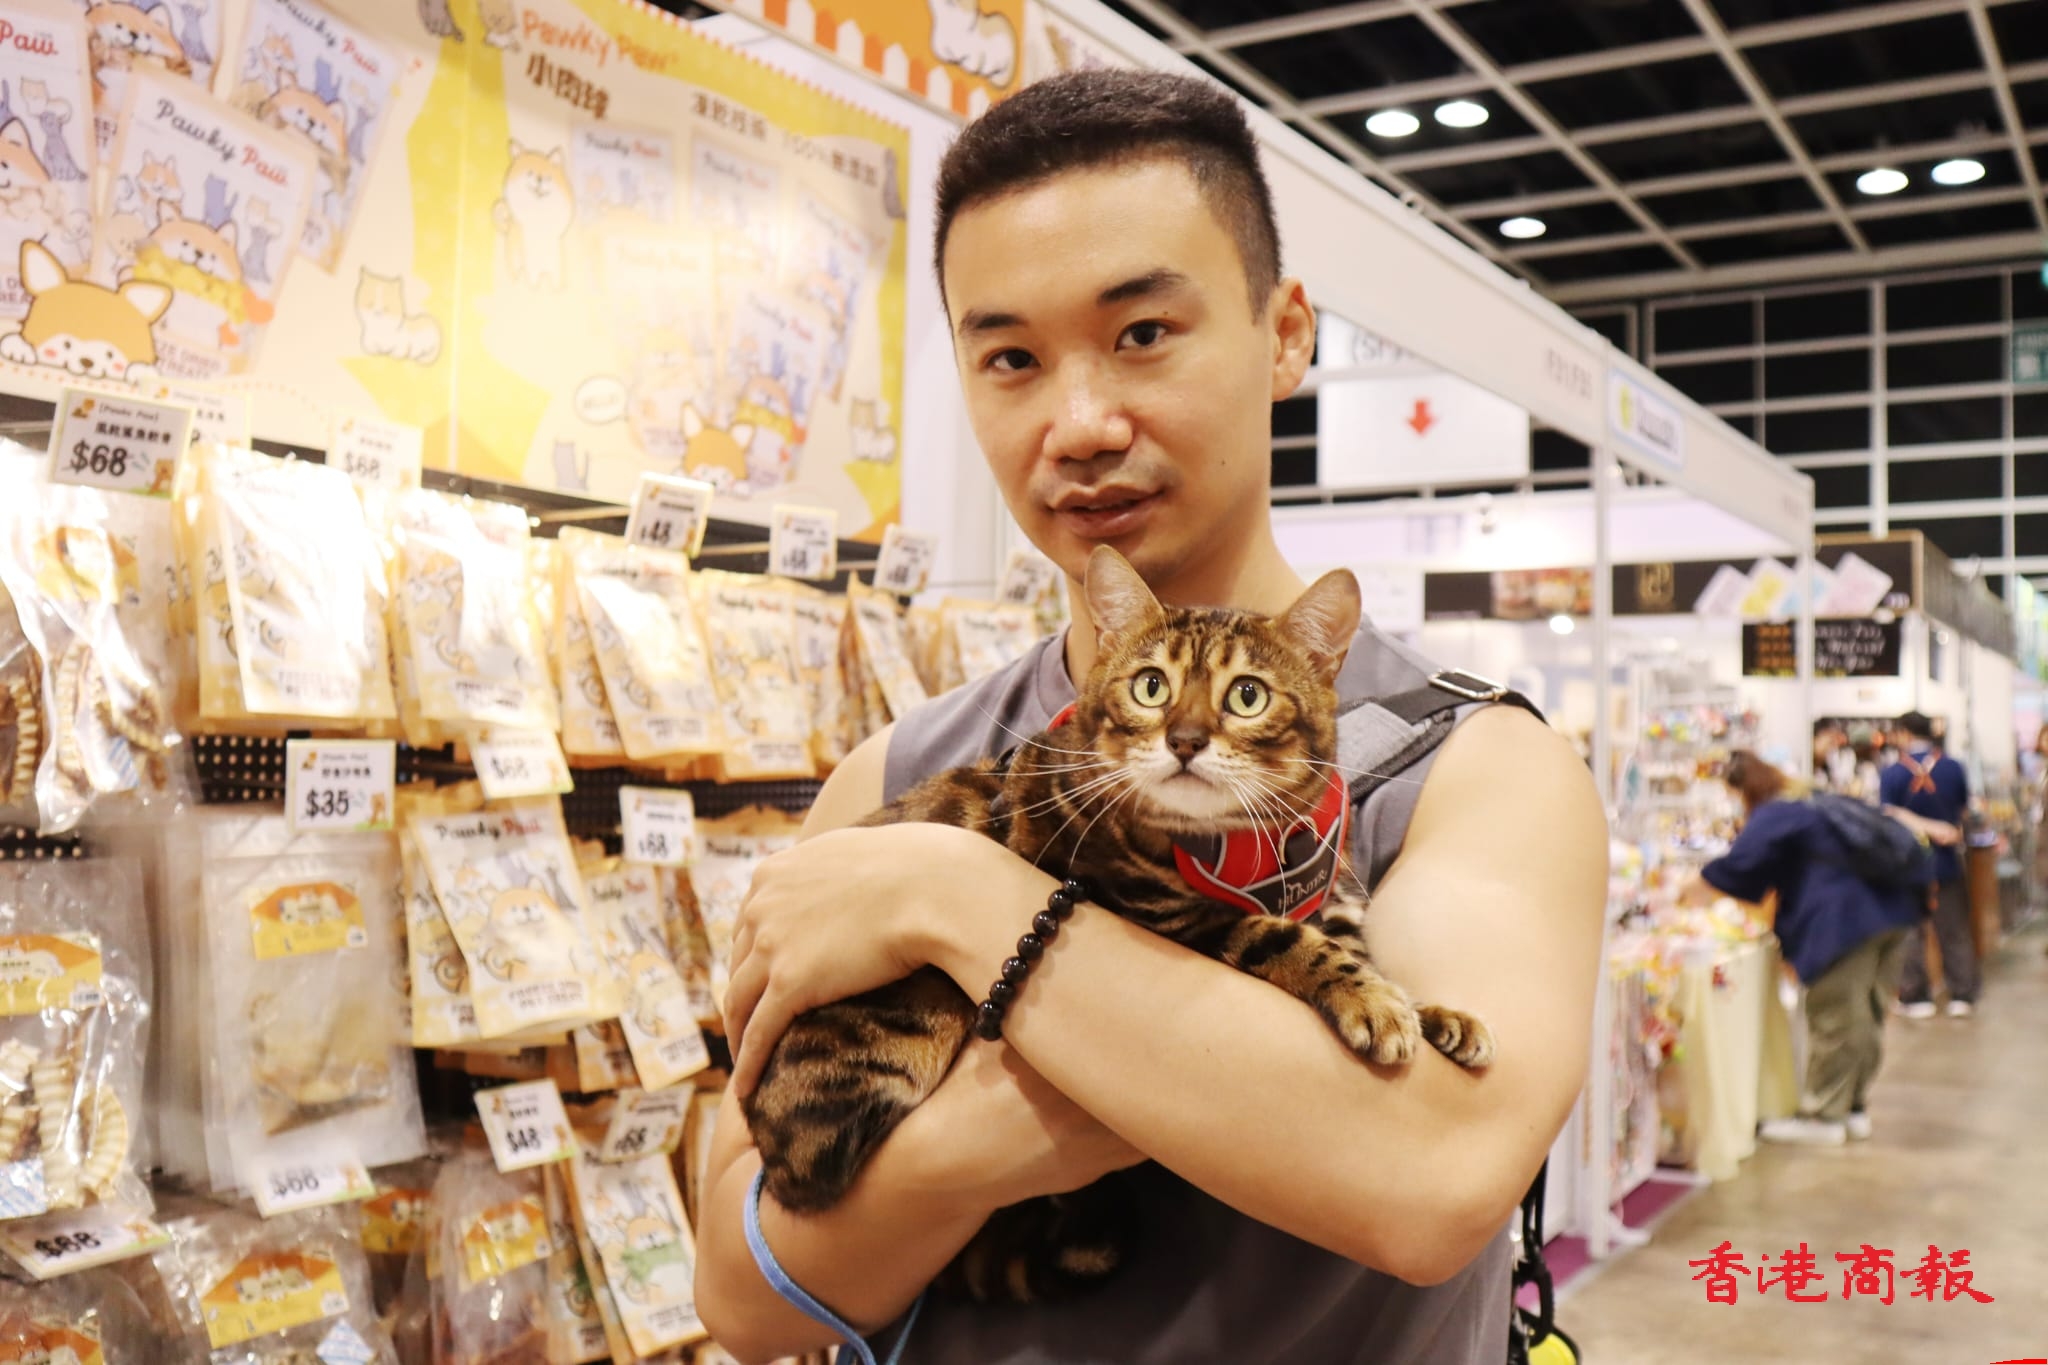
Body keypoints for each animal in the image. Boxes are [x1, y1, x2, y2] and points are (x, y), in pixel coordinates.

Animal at [743, 546, 1494, 1302]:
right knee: (824, 1171)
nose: (1185, 740)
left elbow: (1362, 953)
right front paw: (1374, 1003)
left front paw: (1439, 1015)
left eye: (1247, 695)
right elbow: (1287, 939)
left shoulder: (1331, 900)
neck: (1252, 854)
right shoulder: (1174, 918)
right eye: (1151, 686)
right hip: (892, 1050)